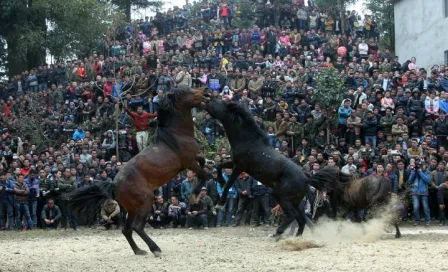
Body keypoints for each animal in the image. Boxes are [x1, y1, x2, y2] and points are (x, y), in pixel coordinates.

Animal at [70, 86, 206, 256]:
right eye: (185, 91)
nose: (205, 91)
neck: (176, 134)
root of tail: (114, 184)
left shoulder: (194, 159)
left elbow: (204, 163)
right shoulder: (189, 162)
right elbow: (205, 174)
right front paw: (194, 195)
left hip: (132, 208)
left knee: (126, 230)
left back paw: (139, 251)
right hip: (146, 200)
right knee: (137, 227)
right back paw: (155, 249)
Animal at [202, 98, 312, 238]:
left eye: (221, 103)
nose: (206, 99)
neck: (248, 140)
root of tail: (306, 180)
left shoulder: (240, 166)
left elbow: (229, 183)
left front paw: (220, 204)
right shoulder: (234, 162)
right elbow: (219, 165)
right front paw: (220, 180)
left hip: (280, 195)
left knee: (292, 215)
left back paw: (278, 233)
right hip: (295, 201)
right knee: (301, 219)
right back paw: (295, 237)